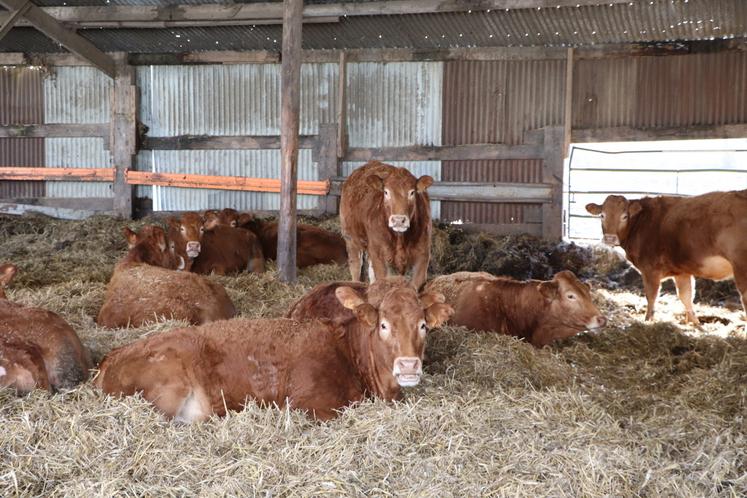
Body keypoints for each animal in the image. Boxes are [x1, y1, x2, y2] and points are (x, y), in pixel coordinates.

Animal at [585, 192, 747, 324]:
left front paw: (648, 320)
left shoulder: (650, 270)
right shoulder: (681, 271)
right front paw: (695, 324)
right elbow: (686, 296)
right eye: (602, 215)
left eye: (624, 216)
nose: (610, 239)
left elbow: (651, 296)